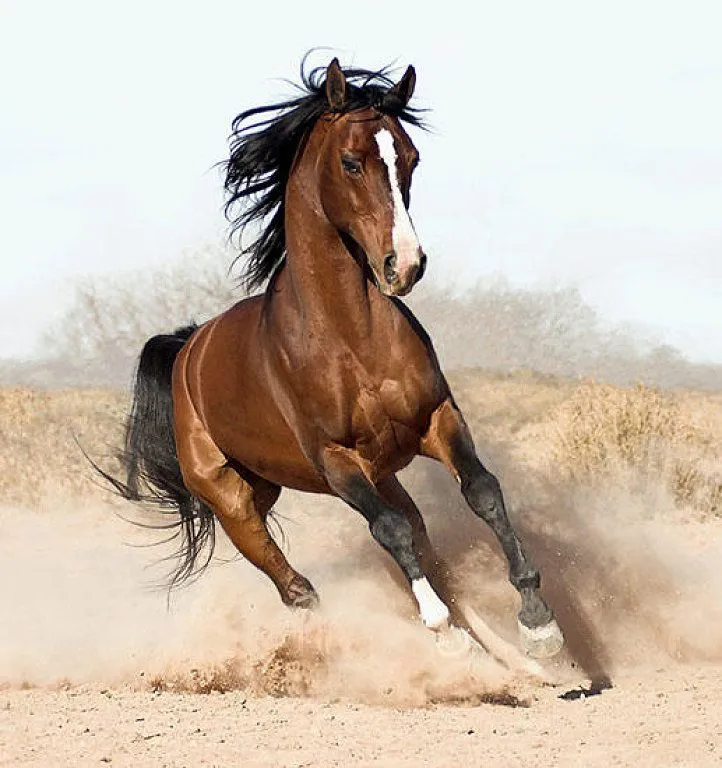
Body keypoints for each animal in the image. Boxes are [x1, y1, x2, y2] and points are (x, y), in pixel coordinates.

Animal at [115, 58, 564, 660]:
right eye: (351, 162)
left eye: (410, 159)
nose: (406, 264)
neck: (351, 338)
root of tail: (189, 348)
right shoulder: (334, 460)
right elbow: (390, 532)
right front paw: (442, 628)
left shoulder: (437, 419)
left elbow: (483, 492)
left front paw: (538, 622)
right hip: (233, 499)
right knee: (297, 585)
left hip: (357, 474)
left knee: (416, 536)